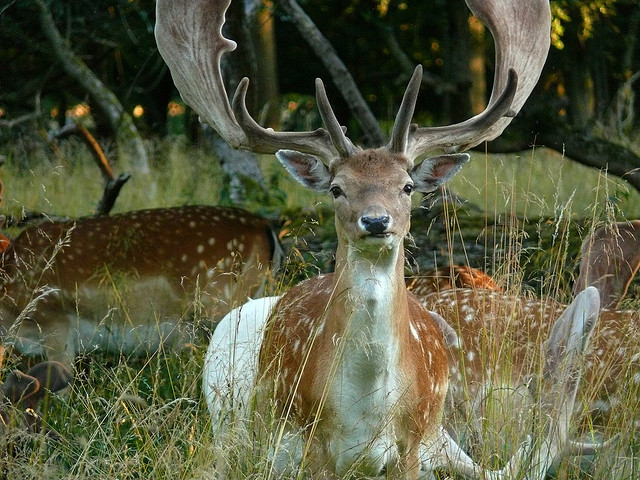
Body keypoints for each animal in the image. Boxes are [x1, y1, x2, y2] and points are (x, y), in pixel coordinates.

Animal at [152, 0, 596, 478]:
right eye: (336, 188)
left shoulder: (415, 445)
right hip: (225, 416)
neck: (365, 412)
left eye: (407, 186)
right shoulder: (314, 446)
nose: (377, 221)